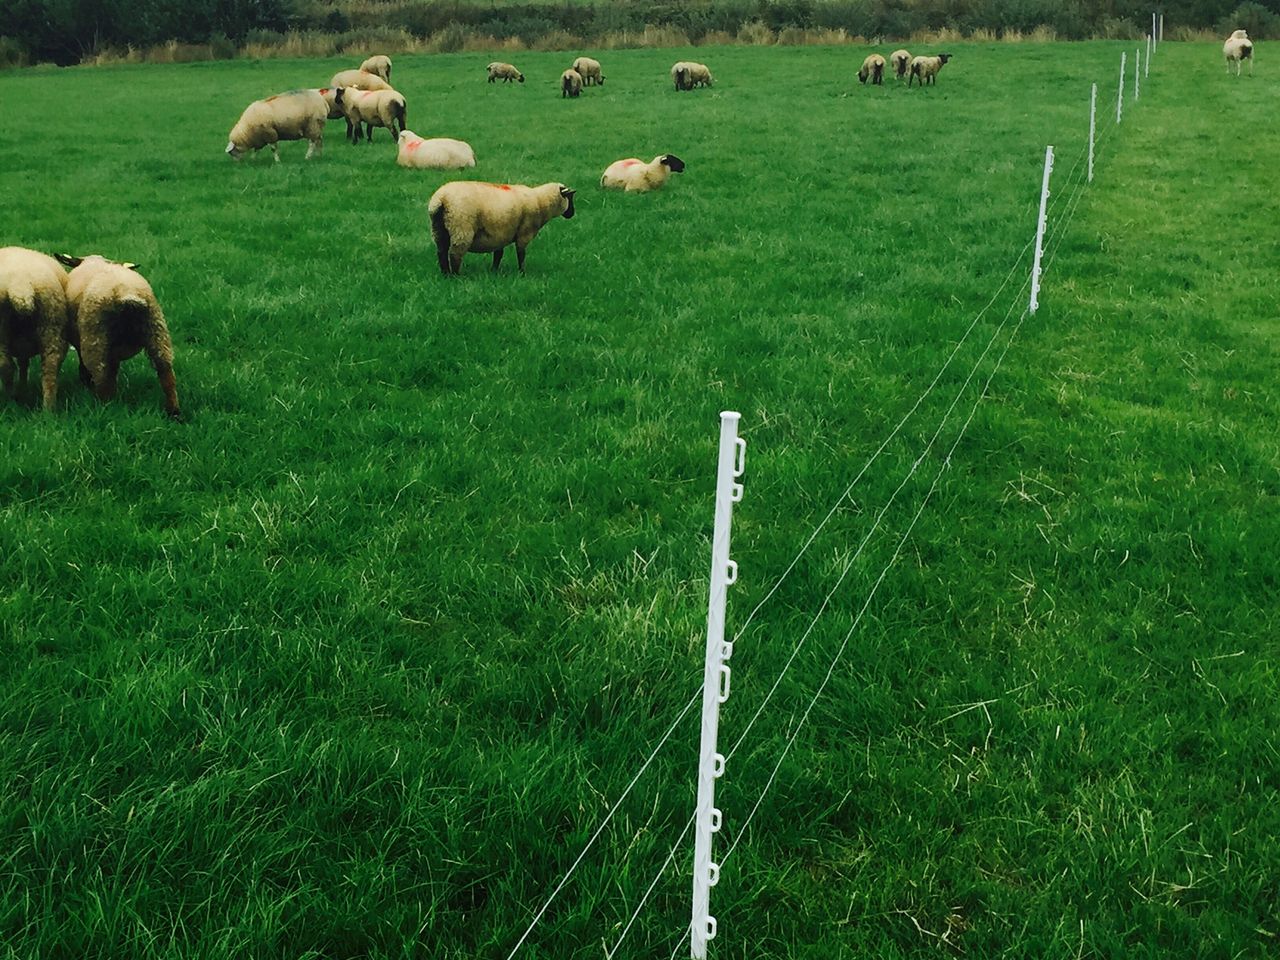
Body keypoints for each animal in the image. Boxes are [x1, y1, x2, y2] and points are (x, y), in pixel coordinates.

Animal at [0, 246, 70, 411]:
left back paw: (9, 400)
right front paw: (23, 387)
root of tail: (21, 285)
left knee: (5, 365)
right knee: (50, 366)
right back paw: (48, 409)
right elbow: (23, 363)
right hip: (51, 323)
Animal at [54, 254, 180, 420]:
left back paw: (104, 406)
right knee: (166, 373)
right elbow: (113, 371)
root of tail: (126, 293)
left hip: (95, 336)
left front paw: (86, 380)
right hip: (157, 330)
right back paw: (174, 412)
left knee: (101, 376)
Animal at [427, 181, 576, 275]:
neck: (540, 201)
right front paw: (522, 272)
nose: (572, 214)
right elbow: (521, 254)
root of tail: (441, 199)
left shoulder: (500, 233)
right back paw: (456, 276)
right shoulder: (524, 232)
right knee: (455, 254)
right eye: (570, 197)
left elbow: (498, 254)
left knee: (441, 252)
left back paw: (445, 274)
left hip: (438, 228)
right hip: (461, 227)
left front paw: (494, 271)